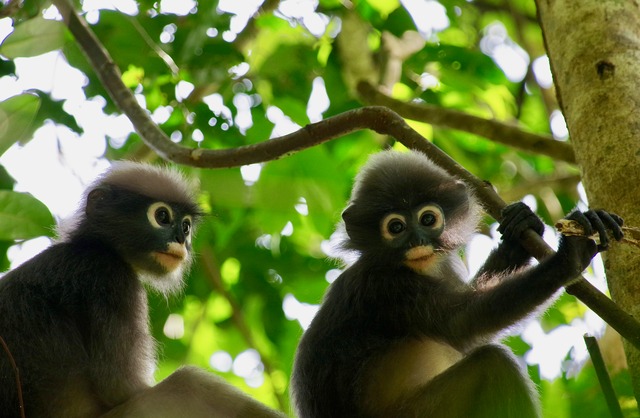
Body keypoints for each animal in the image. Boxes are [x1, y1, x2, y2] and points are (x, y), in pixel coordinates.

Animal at [0, 162, 284, 418]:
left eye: (186, 226)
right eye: (162, 216)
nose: (182, 240)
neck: (95, 246)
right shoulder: (111, 280)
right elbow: (119, 388)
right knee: (189, 384)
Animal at [292, 150, 624, 418]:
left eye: (428, 219)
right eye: (396, 227)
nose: (417, 242)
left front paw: (520, 229)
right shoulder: (384, 286)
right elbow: (462, 323)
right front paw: (569, 256)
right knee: (493, 362)